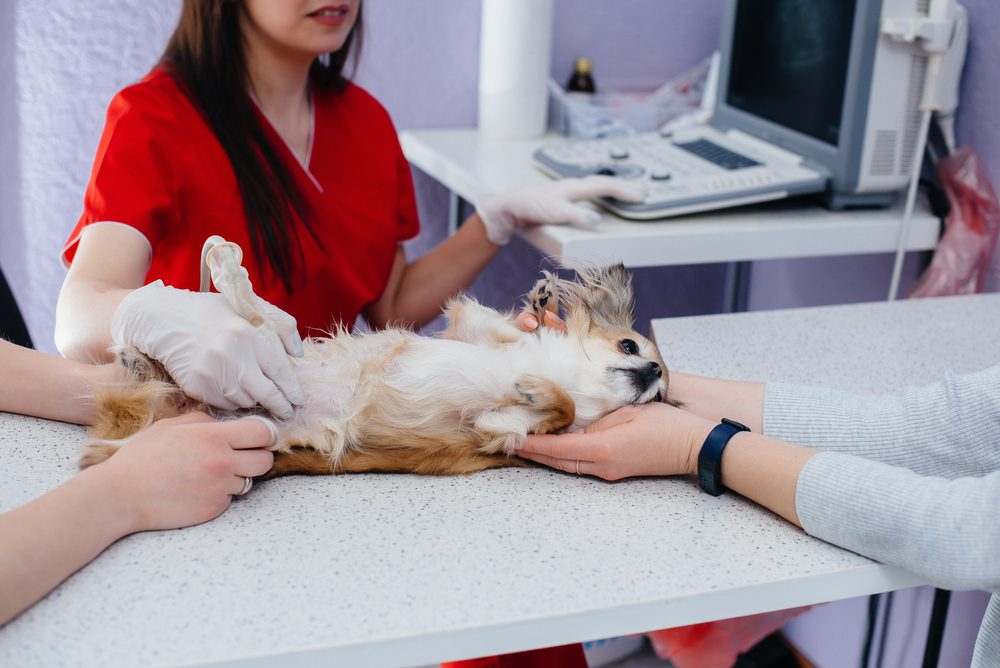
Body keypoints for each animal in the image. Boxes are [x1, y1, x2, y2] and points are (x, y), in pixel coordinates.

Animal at [84, 264, 680, 478]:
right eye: (629, 344)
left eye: (657, 397)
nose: (651, 371)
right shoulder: (468, 324)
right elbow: (502, 331)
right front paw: (538, 308)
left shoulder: (495, 432)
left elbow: (558, 410)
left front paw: (539, 390)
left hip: (257, 435)